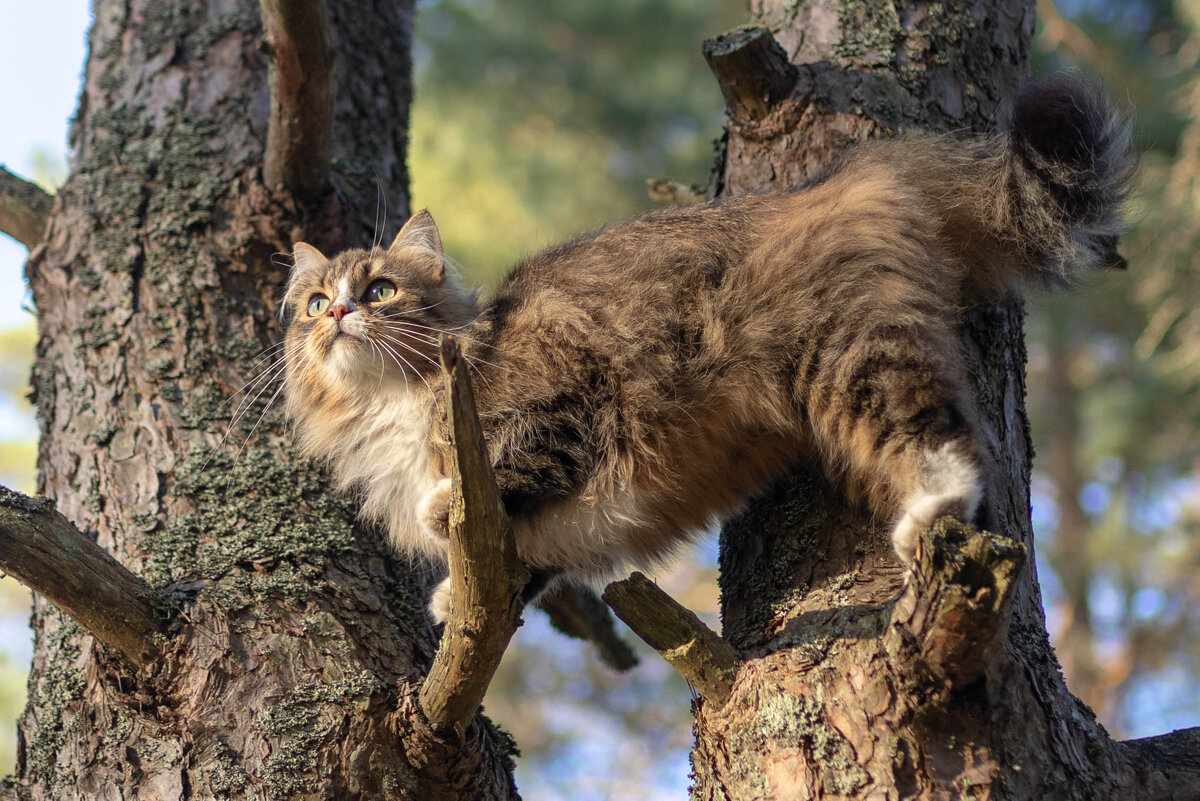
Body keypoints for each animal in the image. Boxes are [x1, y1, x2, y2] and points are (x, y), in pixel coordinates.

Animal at [278, 74, 1132, 623]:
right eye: (316, 302)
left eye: (380, 290)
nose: (340, 312)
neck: (394, 400)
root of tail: (840, 175)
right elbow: (522, 571)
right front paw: (456, 595)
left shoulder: (564, 393)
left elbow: (511, 458)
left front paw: (440, 504)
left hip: (853, 359)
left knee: (949, 437)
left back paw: (931, 513)